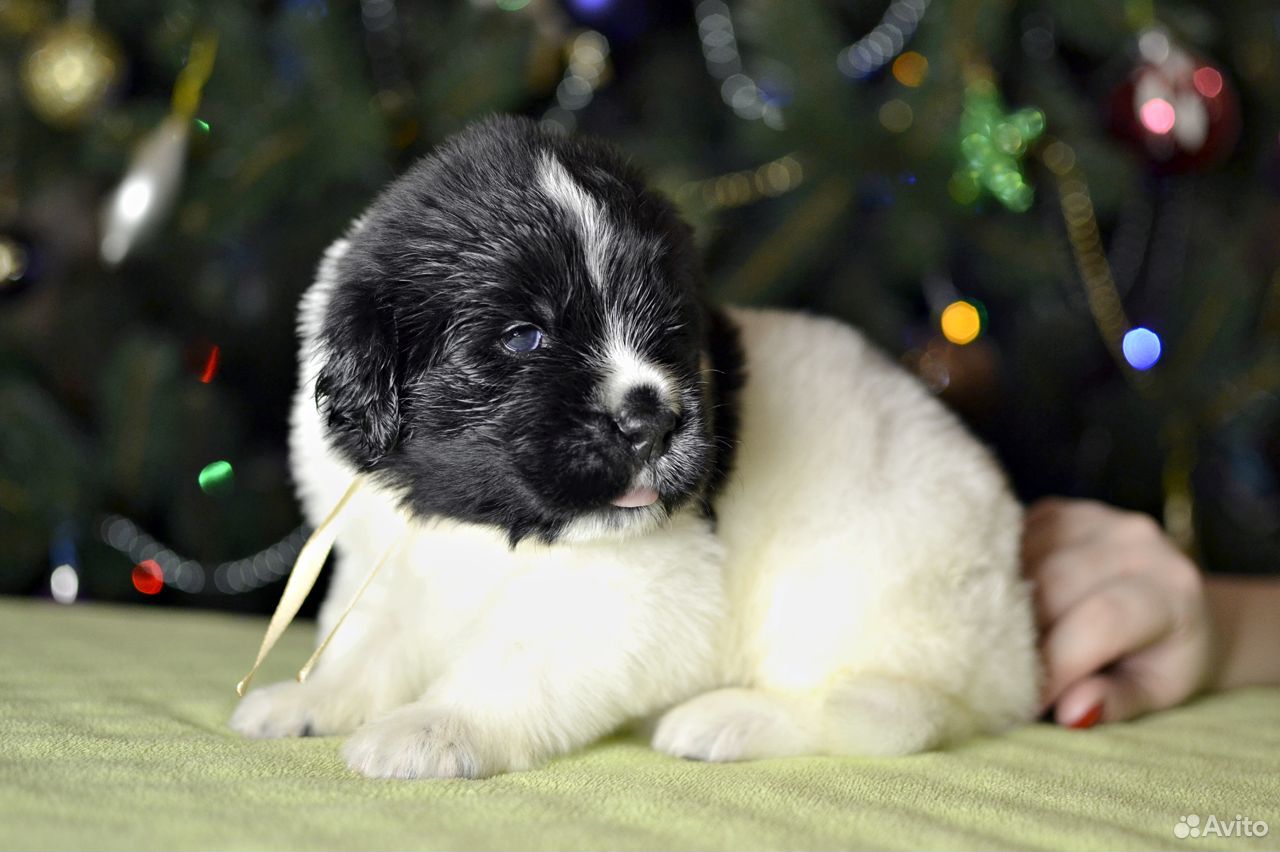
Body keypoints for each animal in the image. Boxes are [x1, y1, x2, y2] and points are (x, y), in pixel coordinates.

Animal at [230, 114, 1039, 777]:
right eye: (524, 337)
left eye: (669, 333)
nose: (651, 421)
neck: (475, 523)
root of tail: (1019, 646)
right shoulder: (384, 564)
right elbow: (363, 644)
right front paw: (308, 700)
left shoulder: (621, 598)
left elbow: (511, 667)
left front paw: (435, 729)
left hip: (860, 585)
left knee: (881, 714)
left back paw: (731, 718)